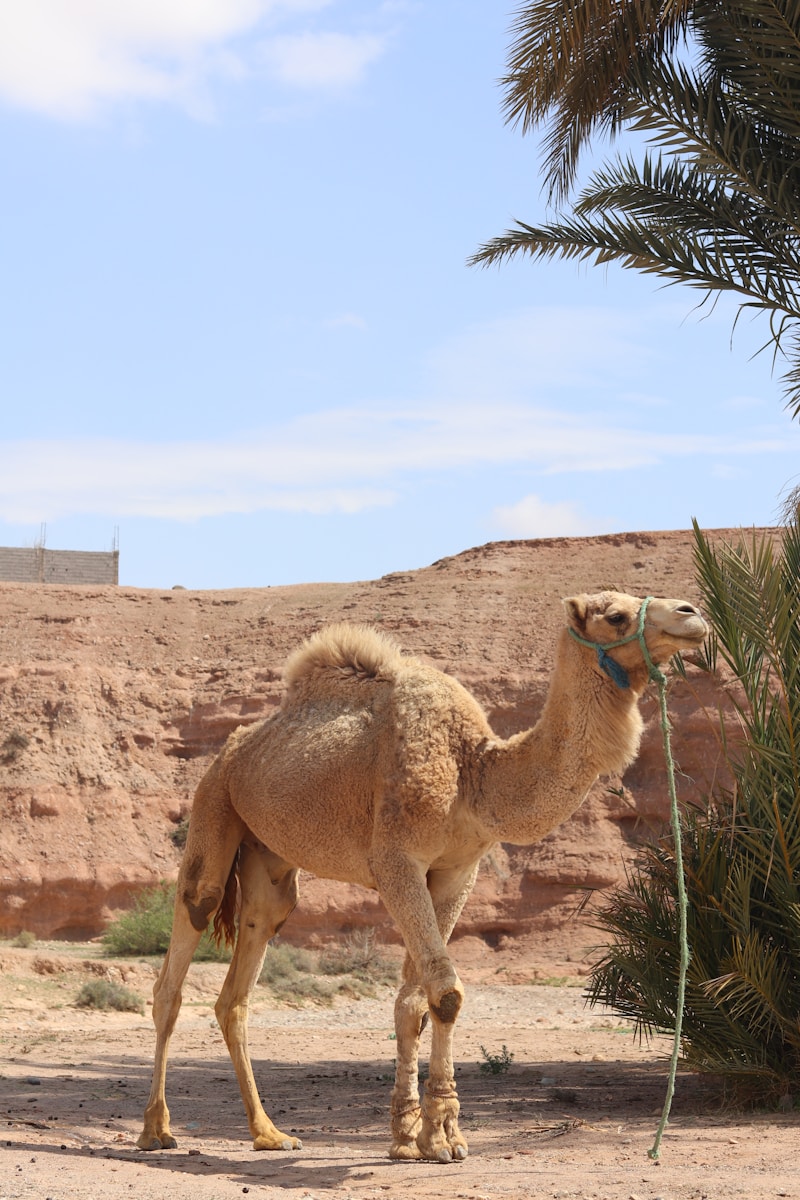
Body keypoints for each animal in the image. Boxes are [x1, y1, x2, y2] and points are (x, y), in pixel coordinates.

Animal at [137, 590, 706, 1163]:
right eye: (615, 615)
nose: (692, 616)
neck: (473, 771)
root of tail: (232, 748)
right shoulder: (397, 860)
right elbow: (447, 993)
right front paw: (440, 1136)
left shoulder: (456, 870)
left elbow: (415, 1000)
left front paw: (410, 1135)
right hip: (214, 804)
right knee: (180, 956)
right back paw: (156, 1130)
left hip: (267, 859)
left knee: (240, 982)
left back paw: (269, 1133)